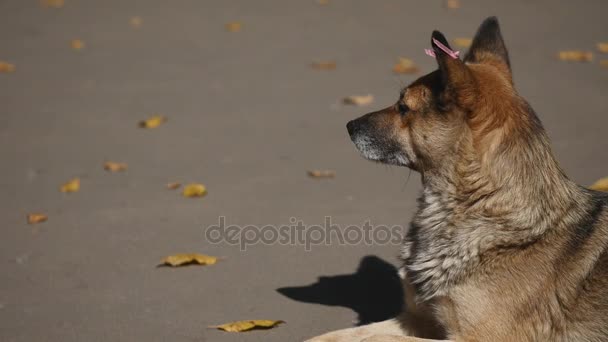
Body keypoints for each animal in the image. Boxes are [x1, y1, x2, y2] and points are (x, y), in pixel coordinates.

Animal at [306, 16, 608, 342]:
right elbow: (339, 335)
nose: (349, 125)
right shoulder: (416, 317)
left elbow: (377, 338)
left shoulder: (475, 337)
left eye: (403, 108)